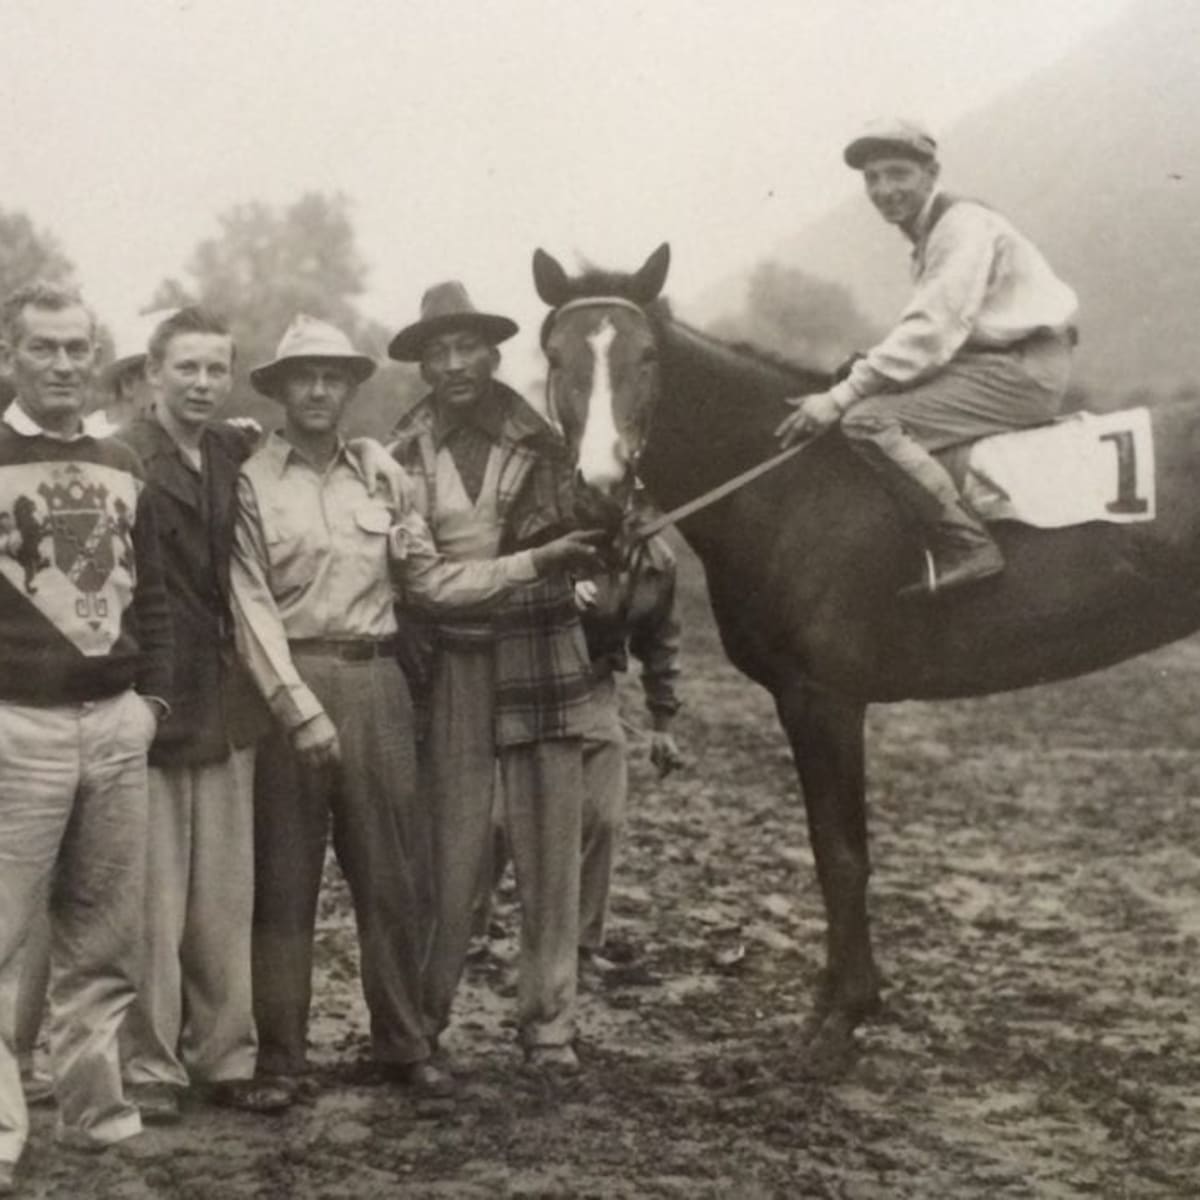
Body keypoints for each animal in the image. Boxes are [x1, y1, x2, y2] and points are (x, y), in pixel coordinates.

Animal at [537, 238, 1200, 1075]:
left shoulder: (825, 699)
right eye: (555, 354)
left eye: (648, 356)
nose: (598, 485)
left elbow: (842, 853)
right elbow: (830, 850)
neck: (788, 481)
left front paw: (842, 1019)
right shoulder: (804, 702)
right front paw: (833, 1005)